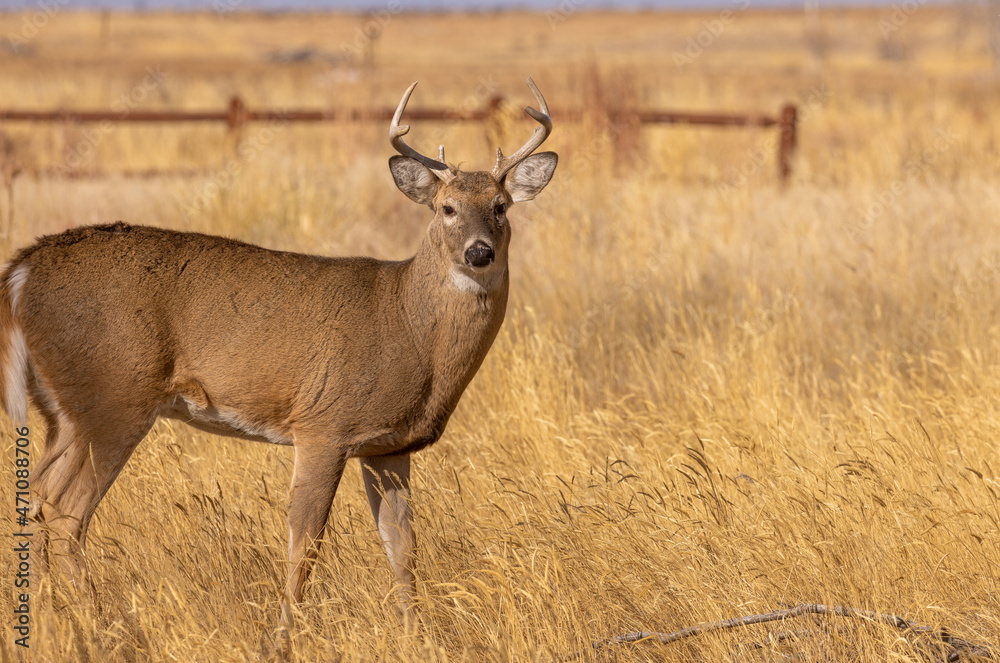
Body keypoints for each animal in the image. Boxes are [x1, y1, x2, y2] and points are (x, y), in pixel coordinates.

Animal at [0, 78, 557, 642]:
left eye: (502, 205)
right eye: (445, 207)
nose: (479, 252)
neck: (408, 324)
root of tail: (21, 272)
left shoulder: (389, 446)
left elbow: (402, 549)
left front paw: (416, 636)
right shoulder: (324, 425)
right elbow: (306, 541)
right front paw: (285, 637)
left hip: (63, 411)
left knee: (35, 495)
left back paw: (45, 619)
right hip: (113, 398)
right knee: (65, 512)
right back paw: (103, 628)